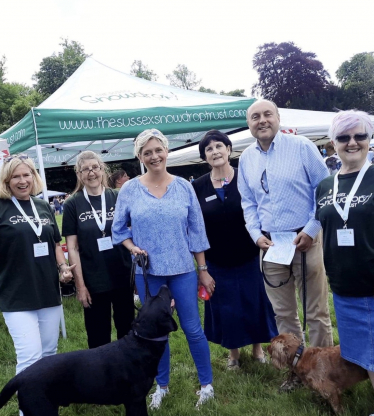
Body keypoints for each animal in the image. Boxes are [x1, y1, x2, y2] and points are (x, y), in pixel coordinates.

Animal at [0, 286, 177, 416]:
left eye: (152, 298)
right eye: (161, 299)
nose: (164, 285)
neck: (142, 341)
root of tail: (21, 375)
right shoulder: (136, 401)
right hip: (42, 410)